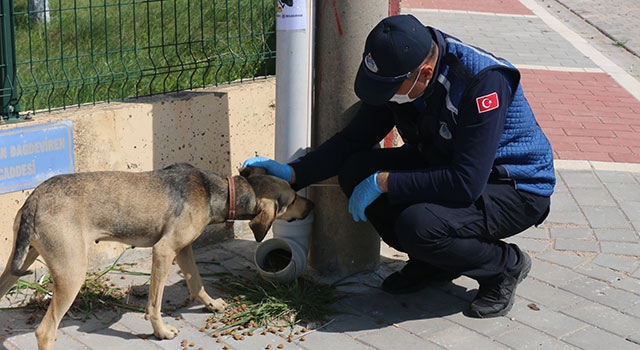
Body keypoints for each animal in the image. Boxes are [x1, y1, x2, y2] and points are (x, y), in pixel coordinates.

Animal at [0, 163, 312, 348]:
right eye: (293, 198)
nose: (311, 205)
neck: (217, 191)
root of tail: (35, 198)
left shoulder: (183, 249)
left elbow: (196, 283)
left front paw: (212, 304)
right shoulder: (163, 251)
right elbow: (154, 304)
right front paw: (161, 332)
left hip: (20, 261)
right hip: (72, 272)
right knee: (45, 331)